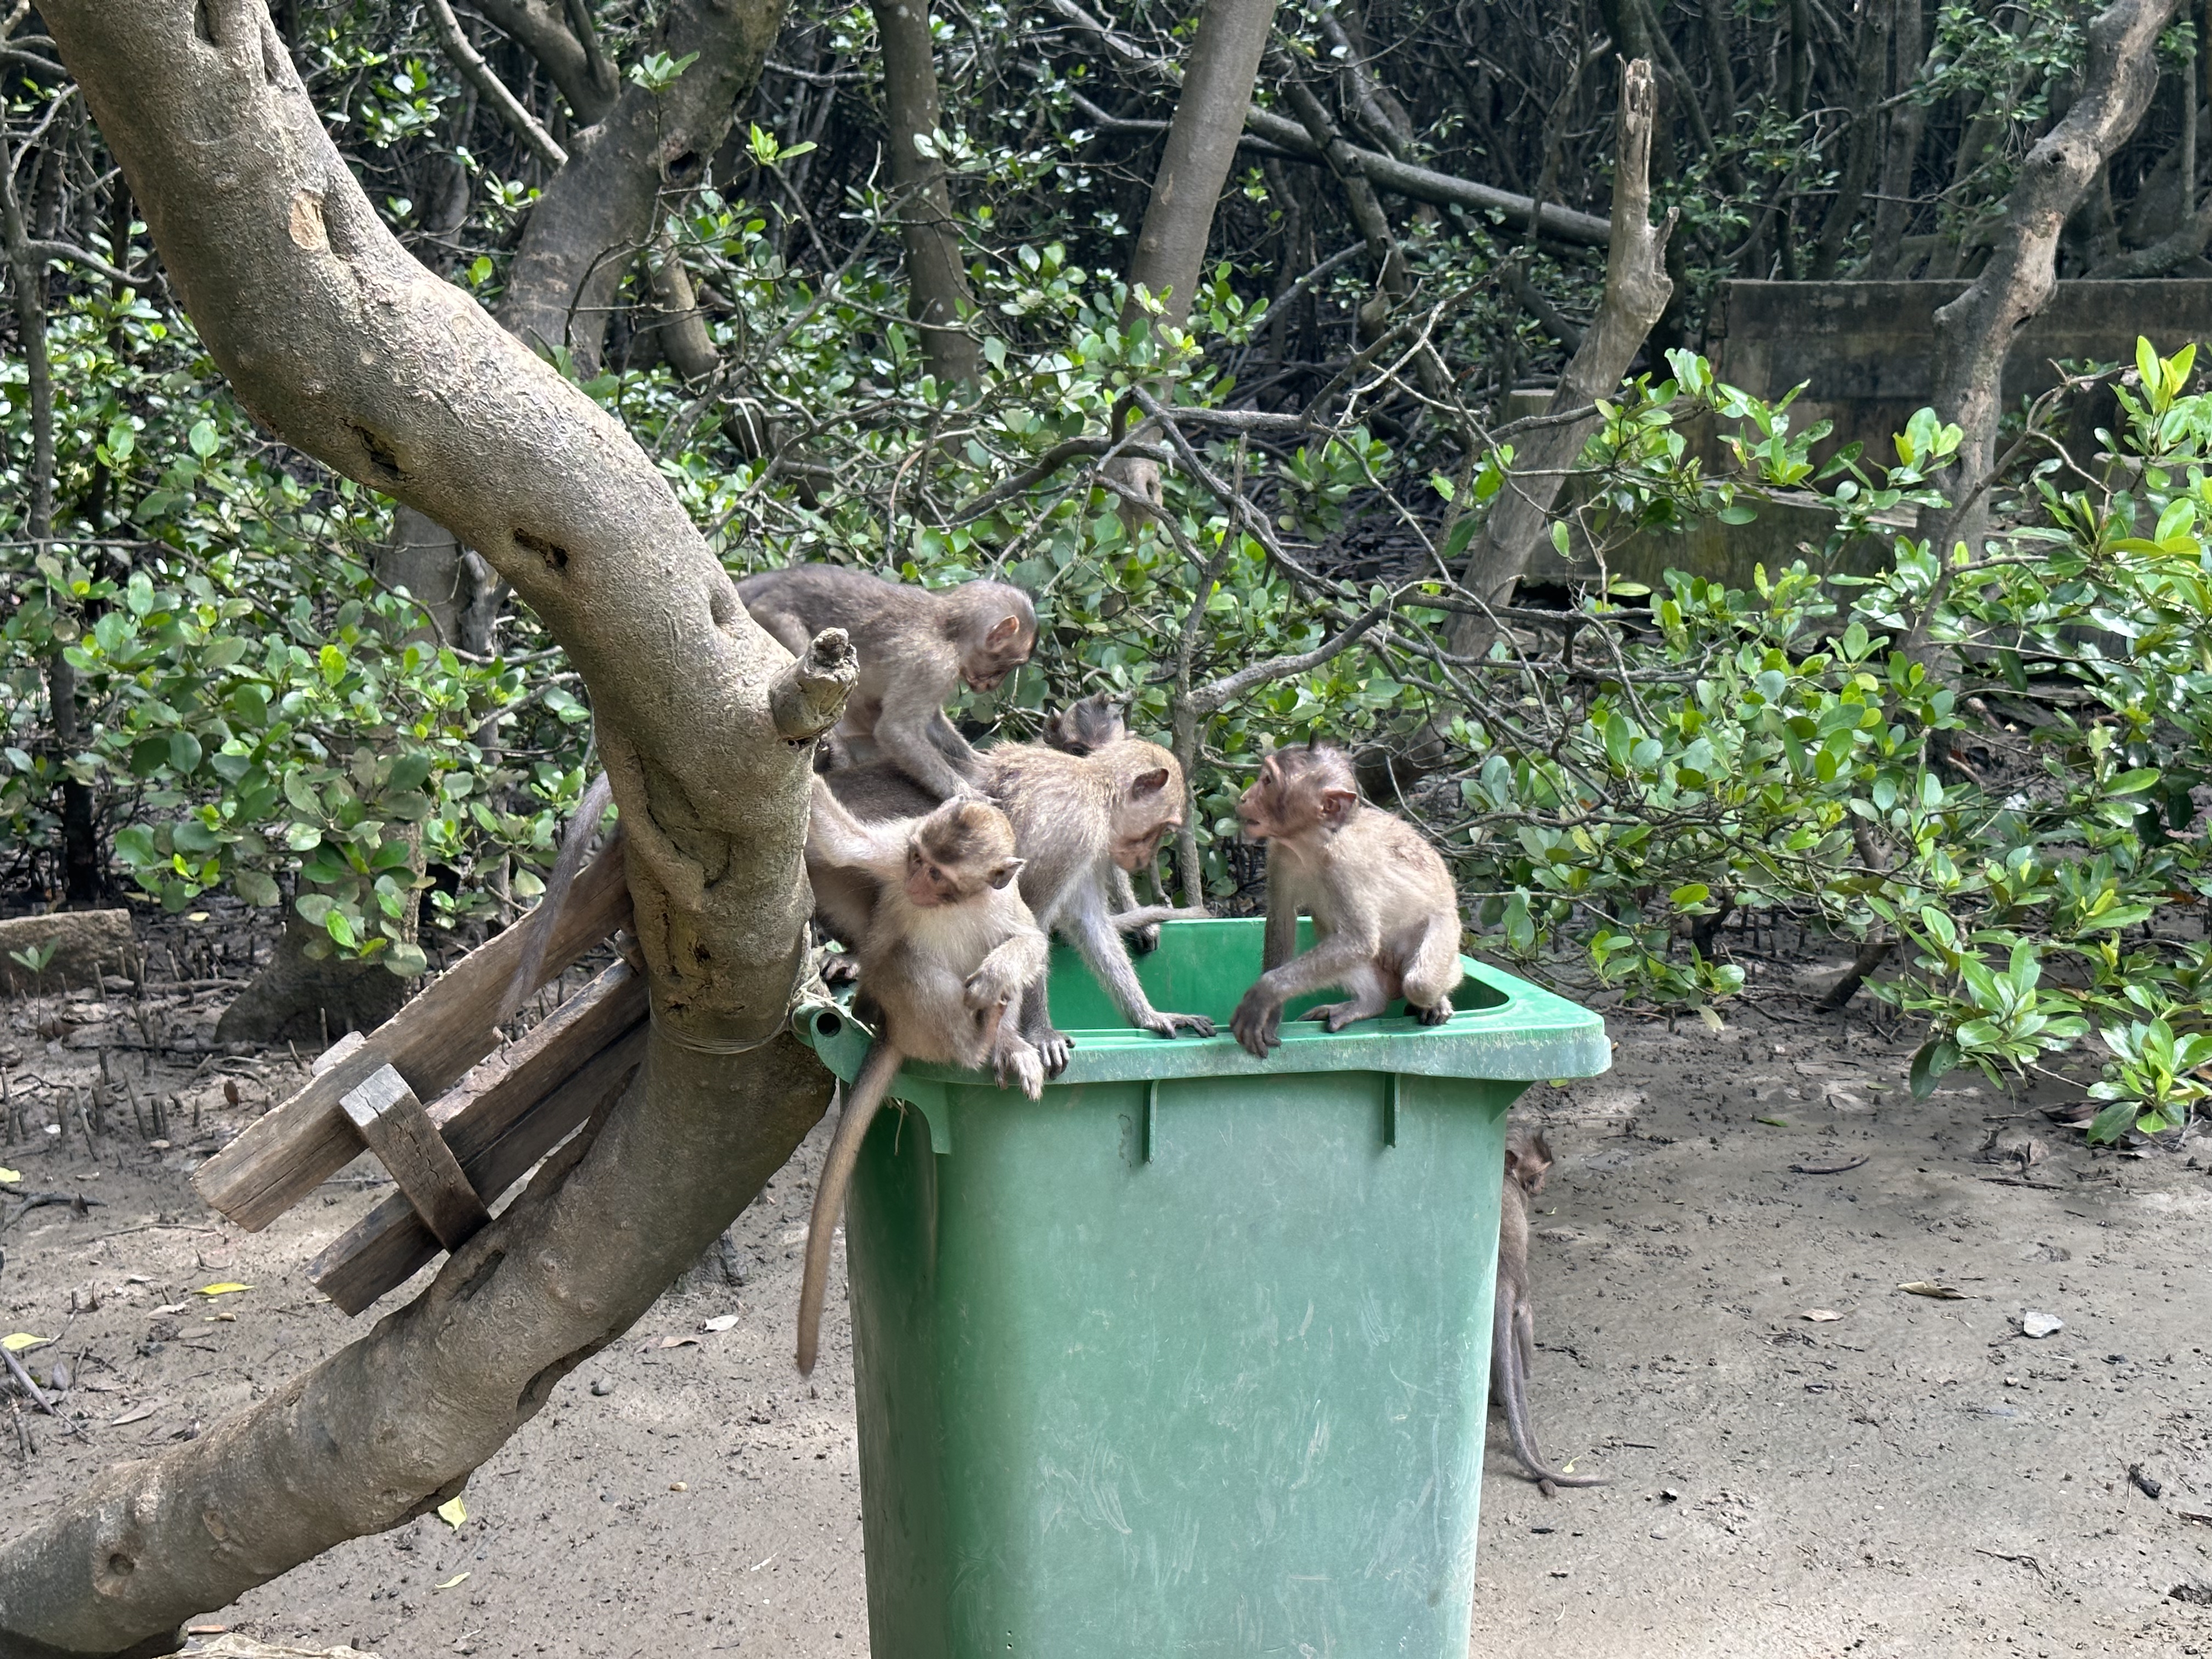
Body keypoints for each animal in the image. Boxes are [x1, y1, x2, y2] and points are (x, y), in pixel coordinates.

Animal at [737, 566, 1036, 800]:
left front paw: (980, 760)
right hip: (772, 619)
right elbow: (897, 731)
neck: (949, 632)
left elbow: (929, 724)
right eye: (1008, 666)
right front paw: (969, 795)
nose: (993, 685)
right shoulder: (933, 666)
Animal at [795, 782, 1049, 1376]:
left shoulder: (1000, 901)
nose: (913, 883)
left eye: (938, 874)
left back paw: (1003, 1041)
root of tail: (897, 1032)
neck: (954, 904)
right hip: (911, 1015)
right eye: (916, 859)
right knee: (902, 960)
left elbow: (1027, 941)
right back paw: (973, 1039)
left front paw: (1001, 973)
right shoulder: (890, 853)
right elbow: (842, 846)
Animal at [1228, 742, 1463, 1059]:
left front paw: (1266, 992)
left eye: (1267, 781)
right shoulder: (1279, 854)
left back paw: (1438, 999)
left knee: (1421, 984)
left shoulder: (1347, 865)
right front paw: (1271, 1015)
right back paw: (1370, 1004)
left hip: (1446, 926)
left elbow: (1359, 940)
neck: (1315, 842)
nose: (1244, 798)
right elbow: (1281, 921)